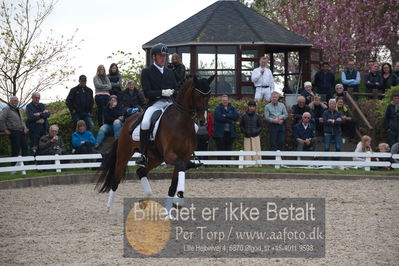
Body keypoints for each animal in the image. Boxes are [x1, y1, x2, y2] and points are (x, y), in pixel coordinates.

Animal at [96, 74, 216, 210]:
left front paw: (173, 205)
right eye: (197, 95)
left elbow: (173, 184)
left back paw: (146, 198)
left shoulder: (184, 157)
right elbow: (180, 168)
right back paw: (109, 207)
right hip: (124, 154)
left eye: (209, 96)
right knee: (116, 178)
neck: (181, 123)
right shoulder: (170, 156)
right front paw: (179, 196)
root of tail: (127, 122)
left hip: (155, 158)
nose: (203, 121)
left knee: (140, 171)